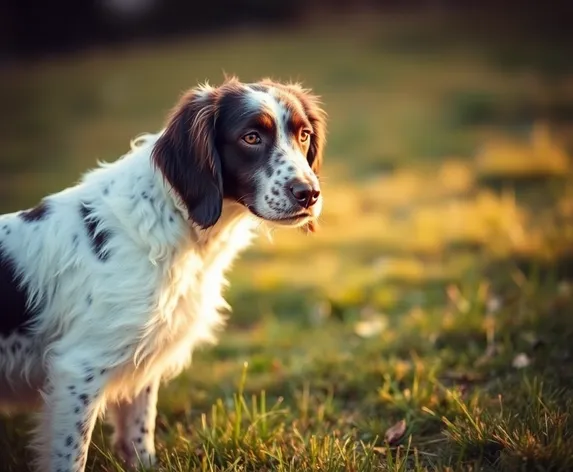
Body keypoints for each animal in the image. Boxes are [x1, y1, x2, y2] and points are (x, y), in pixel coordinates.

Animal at [1, 78, 326, 472]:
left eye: (304, 135)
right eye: (251, 137)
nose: (309, 193)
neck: (172, 222)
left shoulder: (140, 356)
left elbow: (140, 432)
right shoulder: (77, 370)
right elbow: (71, 454)